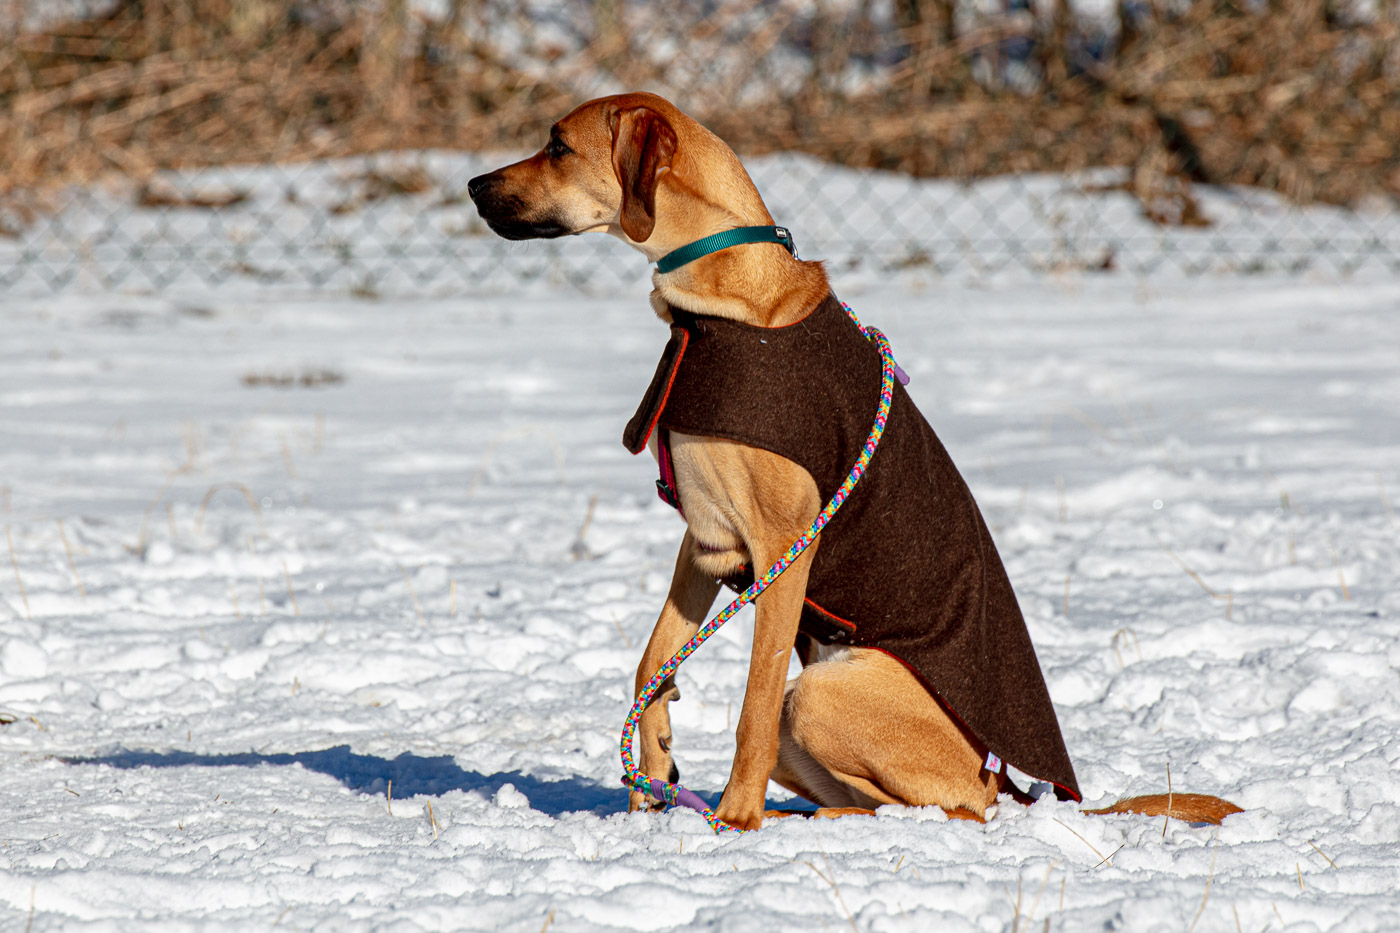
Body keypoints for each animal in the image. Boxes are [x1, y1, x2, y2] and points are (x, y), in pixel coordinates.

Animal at [467, 88, 1237, 829]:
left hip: (821, 694)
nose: (472, 184)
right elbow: (651, 660)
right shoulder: (708, 540)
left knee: (948, 807)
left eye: (558, 146)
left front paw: (734, 819)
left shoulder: (782, 551)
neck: (723, 304)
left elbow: (751, 704)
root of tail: (1000, 780)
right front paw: (651, 769)